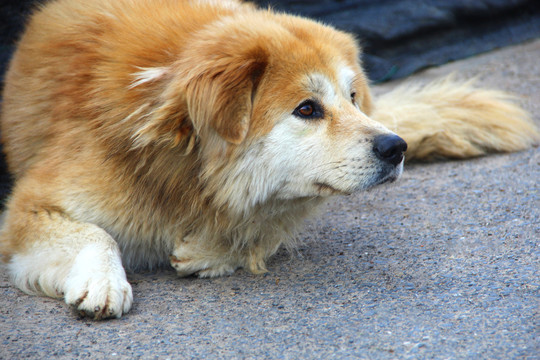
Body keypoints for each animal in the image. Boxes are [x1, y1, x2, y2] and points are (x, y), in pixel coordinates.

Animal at [1, 0, 540, 320]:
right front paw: (102, 281)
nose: (396, 146)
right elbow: (96, 233)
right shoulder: (28, 206)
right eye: (307, 109)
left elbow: (269, 222)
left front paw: (213, 249)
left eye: (353, 98)